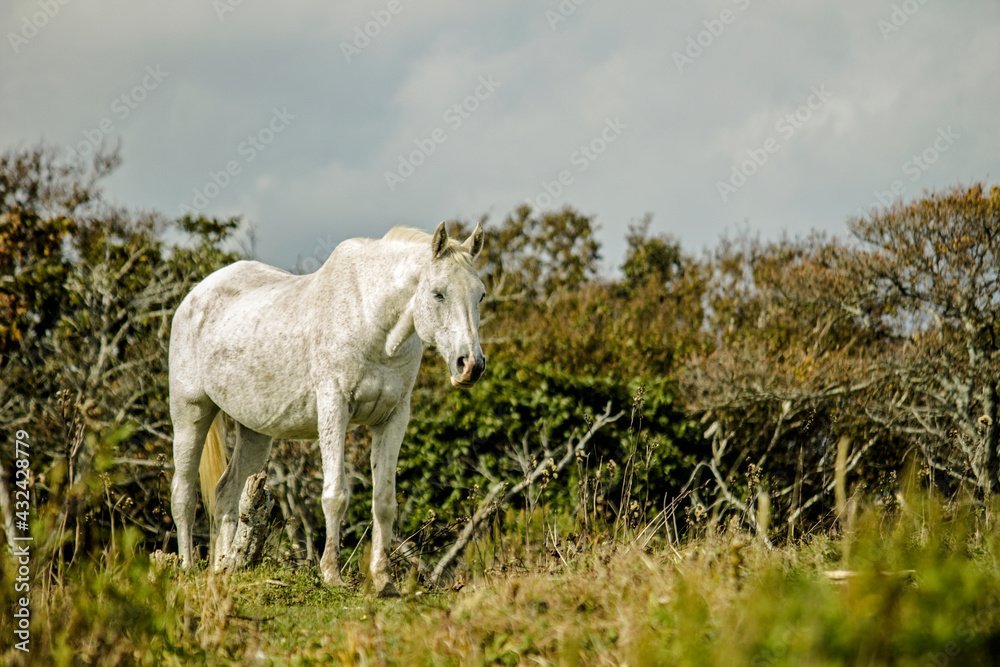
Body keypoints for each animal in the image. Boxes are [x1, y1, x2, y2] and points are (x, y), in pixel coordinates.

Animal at [169, 222, 487, 597]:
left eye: (480, 295)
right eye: (438, 294)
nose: (471, 366)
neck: (370, 318)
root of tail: (194, 296)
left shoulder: (394, 417)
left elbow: (384, 501)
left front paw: (383, 580)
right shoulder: (334, 406)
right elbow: (335, 494)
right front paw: (331, 573)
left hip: (255, 432)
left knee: (226, 494)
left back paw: (224, 567)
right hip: (190, 413)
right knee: (183, 494)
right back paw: (187, 566)